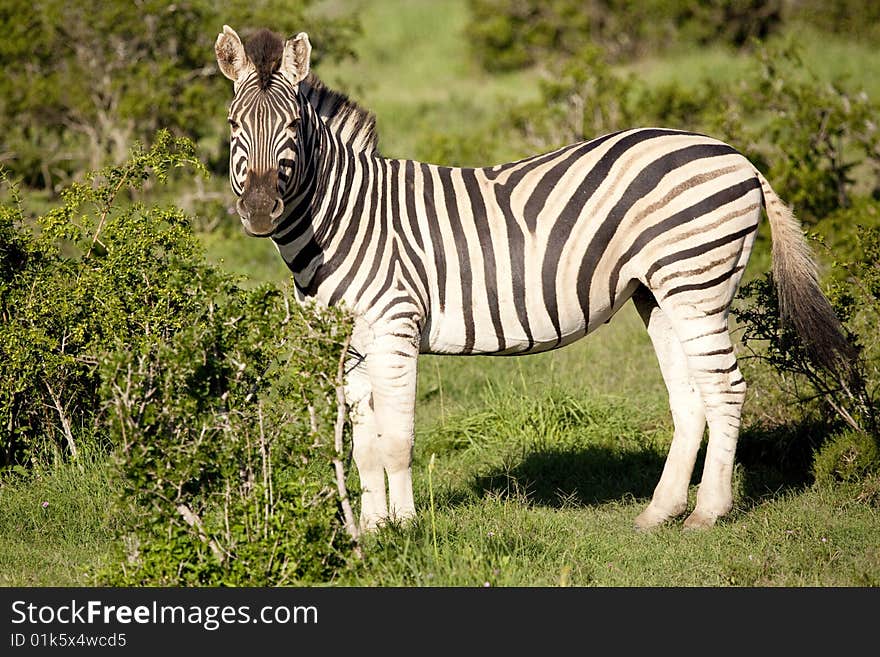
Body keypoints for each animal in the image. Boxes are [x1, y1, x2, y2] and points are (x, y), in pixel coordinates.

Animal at [213, 26, 852, 532]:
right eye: (233, 124)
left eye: (294, 125)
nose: (261, 211)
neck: (346, 216)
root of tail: (737, 155)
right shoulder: (350, 340)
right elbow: (364, 442)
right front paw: (371, 531)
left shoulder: (395, 322)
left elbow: (396, 439)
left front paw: (406, 528)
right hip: (659, 293)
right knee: (691, 395)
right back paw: (660, 511)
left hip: (696, 283)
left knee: (725, 389)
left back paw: (708, 513)